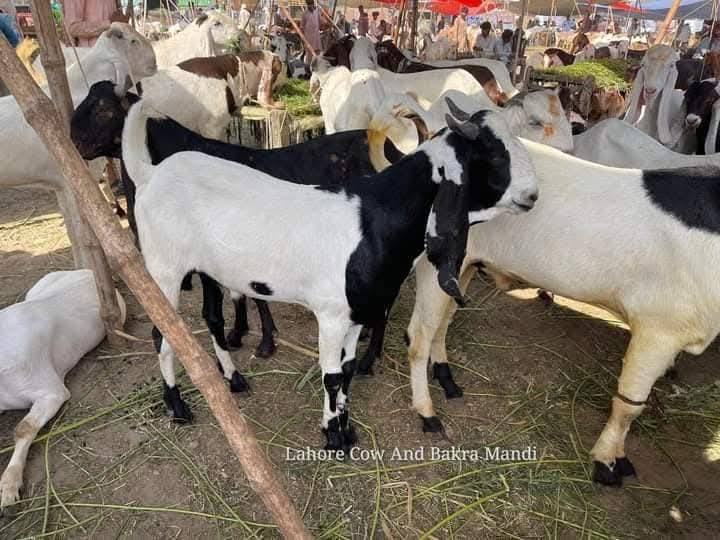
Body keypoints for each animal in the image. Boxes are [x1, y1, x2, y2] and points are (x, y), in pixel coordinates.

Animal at [121, 98, 538, 448]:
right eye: (492, 155)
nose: (532, 195)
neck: (373, 218)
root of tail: (150, 174)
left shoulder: (357, 312)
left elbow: (349, 369)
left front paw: (344, 427)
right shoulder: (331, 314)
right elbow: (332, 375)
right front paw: (333, 438)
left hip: (207, 270)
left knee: (211, 318)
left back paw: (234, 379)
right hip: (164, 269)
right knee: (161, 334)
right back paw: (177, 406)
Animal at [406, 131, 720, 486]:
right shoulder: (658, 327)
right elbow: (629, 406)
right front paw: (607, 462)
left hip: (464, 265)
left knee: (442, 321)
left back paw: (447, 379)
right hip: (434, 260)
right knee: (419, 336)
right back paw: (427, 412)